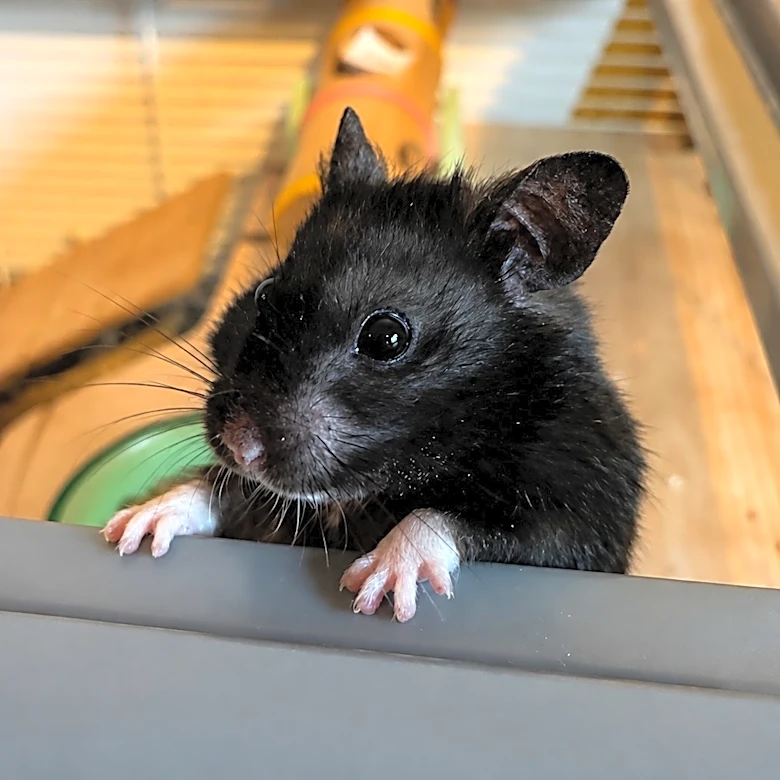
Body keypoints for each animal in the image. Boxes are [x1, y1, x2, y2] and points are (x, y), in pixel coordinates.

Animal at [103, 107, 648, 622]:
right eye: (263, 295)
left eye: (386, 338)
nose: (242, 448)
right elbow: (220, 490)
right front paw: (133, 529)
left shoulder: (578, 520)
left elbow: (451, 519)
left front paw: (371, 591)